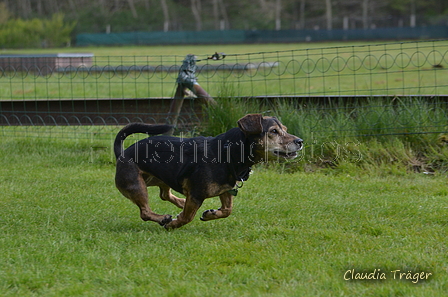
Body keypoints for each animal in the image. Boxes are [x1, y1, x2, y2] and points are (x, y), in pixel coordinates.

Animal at [114, 113, 302, 229]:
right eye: (273, 131)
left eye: (285, 129)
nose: (300, 141)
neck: (227, 153)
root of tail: (122, 153)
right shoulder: (197, 194)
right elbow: (187, 217)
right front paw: (173, 224)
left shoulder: (226, 190)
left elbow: (227, 210)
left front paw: (210, 214)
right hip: (136, 184)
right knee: (145, 212)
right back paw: (163, 218)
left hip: (162, 178)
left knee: (164, 195)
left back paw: (181, 201)